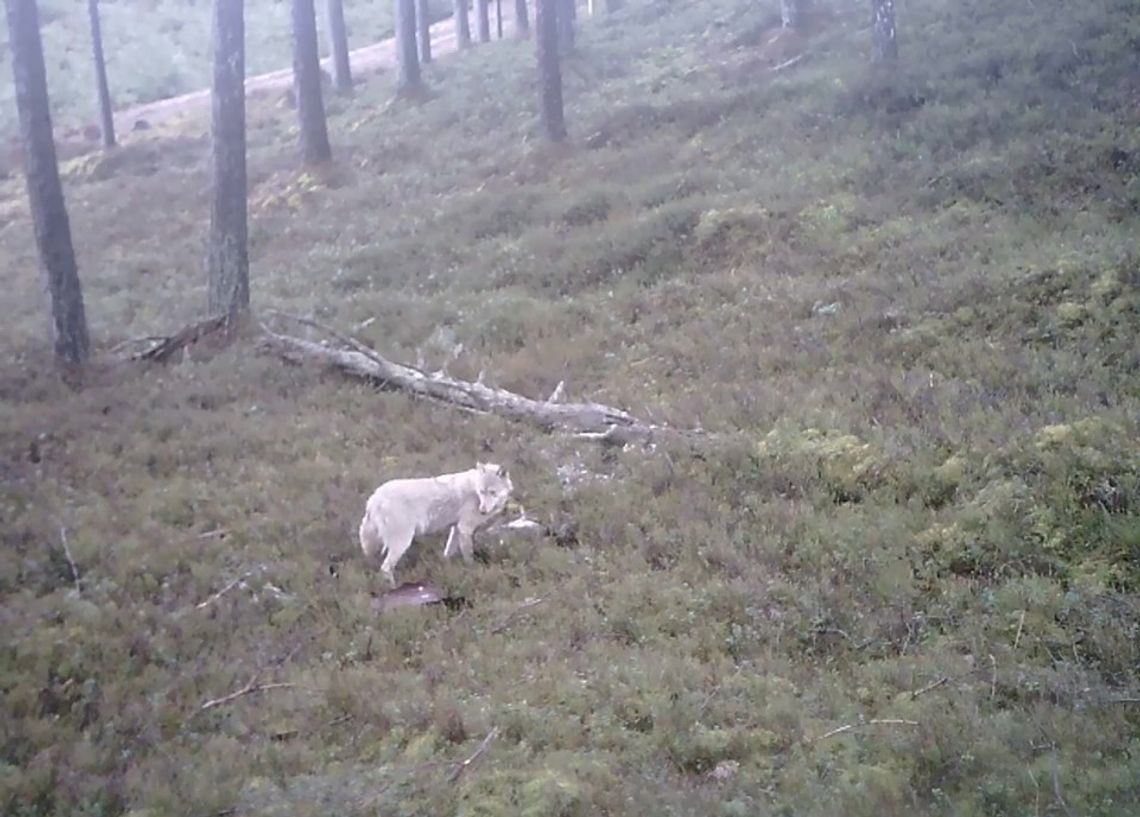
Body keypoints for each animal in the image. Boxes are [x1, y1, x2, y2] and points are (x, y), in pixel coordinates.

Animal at [357, 458, 515, 587]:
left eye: (492, 492)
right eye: (482, 492)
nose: (482, 511)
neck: (474, 490)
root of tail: (374, 498)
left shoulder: (456, 528)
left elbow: (448, 552)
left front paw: (445, 568)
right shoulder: (465, 529)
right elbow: (469, 557)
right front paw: (473, 572)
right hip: (402, 543)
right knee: (385, 568)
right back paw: (394, 588)